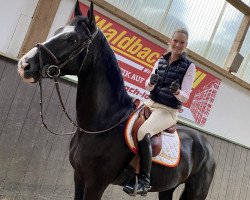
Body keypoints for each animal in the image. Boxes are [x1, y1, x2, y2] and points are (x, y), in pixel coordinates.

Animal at [17, 0, 215, 199]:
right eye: (58, 31)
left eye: (72, 39)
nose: (24, 64)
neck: (103, 125)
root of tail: (206, 144)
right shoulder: (78, 177)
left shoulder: (96, 184)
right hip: (167, 188)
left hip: (196, 191)